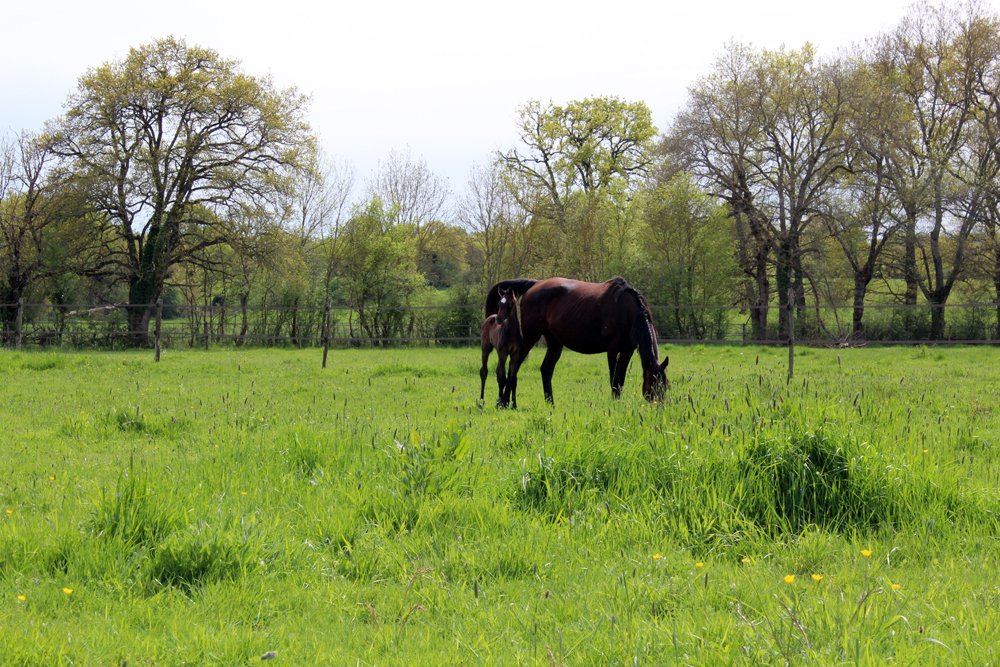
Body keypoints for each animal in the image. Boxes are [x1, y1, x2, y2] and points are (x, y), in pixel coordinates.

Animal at [500, 277, 668, 406]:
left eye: (665, 385)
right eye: (653, 384)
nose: (659, 406)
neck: (626, 310)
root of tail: (535, 284)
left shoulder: (627, 350)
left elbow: (620, 381)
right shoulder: (613, 350)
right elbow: (614, 380)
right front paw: (614, 404)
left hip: (554, 342)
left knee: (545, 370)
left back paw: (550, 404)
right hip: (530, 336)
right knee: (514, 365)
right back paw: (505, 402)